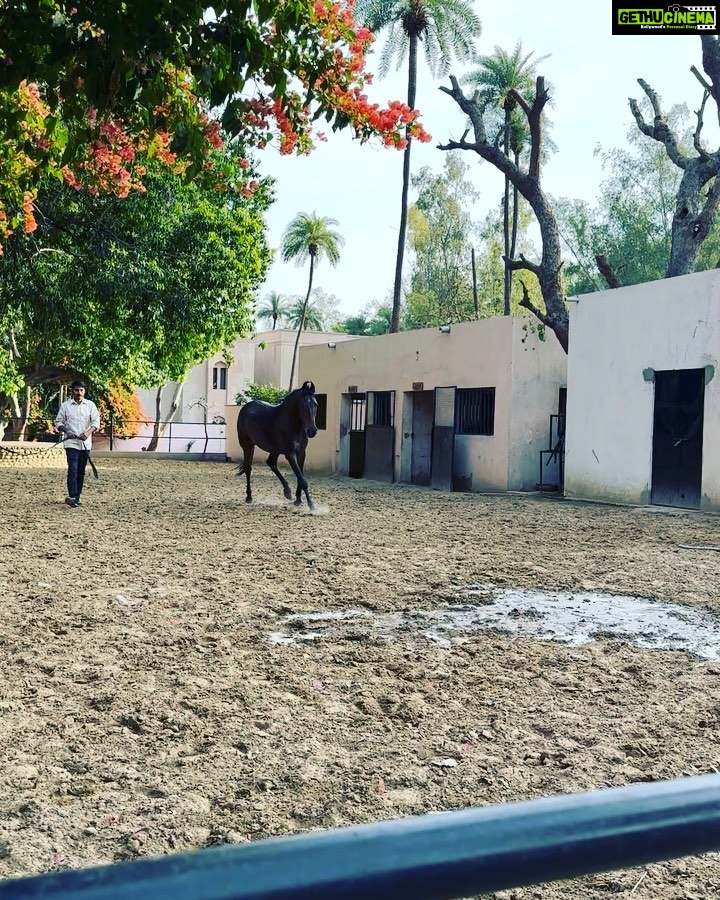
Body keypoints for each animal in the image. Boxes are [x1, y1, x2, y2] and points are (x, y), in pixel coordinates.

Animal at [236, 380, 319, 510]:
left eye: (316, 404)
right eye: (303, 405)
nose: (312, 431)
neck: (293, 425)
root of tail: (245, 407)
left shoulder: (301, 453)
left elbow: (300, 477)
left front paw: (298, 500)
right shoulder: (290, 454)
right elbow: (302, 480)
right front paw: (311, 505)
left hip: (274, 449)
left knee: (271, 463)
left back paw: (287, 491)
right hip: (247, 446)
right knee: (248, 468)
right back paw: (249, 497)